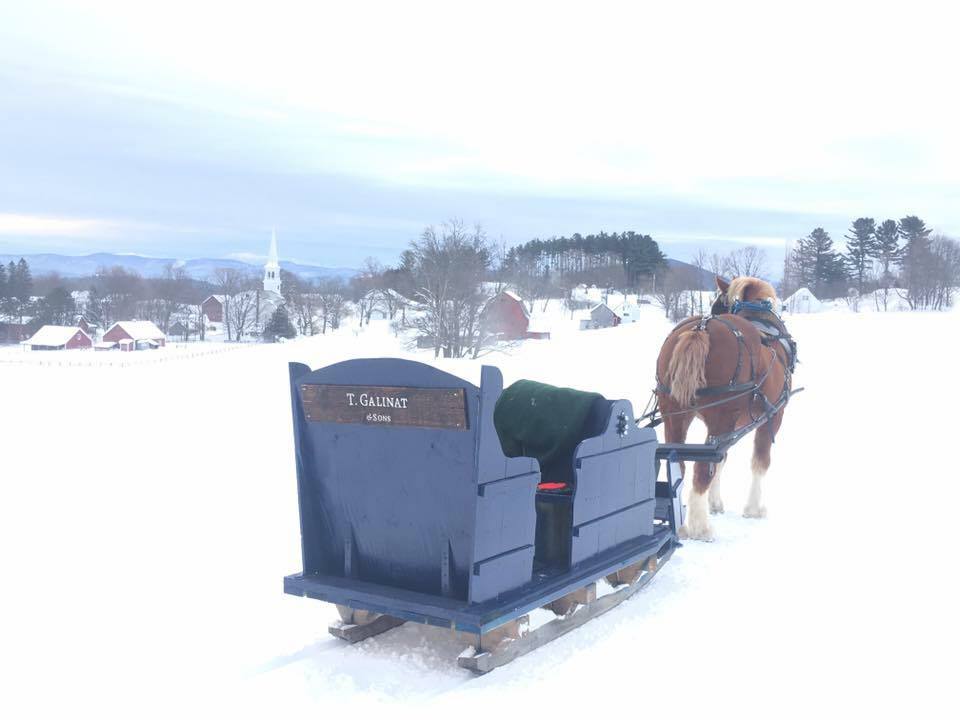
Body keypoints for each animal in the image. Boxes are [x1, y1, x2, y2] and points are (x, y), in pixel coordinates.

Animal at [656, 276, 792, 540]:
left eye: (717, 302)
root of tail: (701, 328)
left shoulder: (731, 426)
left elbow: (721, 460)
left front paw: (715, 503)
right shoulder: (773, 416)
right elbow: (760, 462)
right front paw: (753, 510)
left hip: (674, 414)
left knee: (679, 463)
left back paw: (682, 521)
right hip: (722, 418)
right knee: (701, 468)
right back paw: (700, 528)